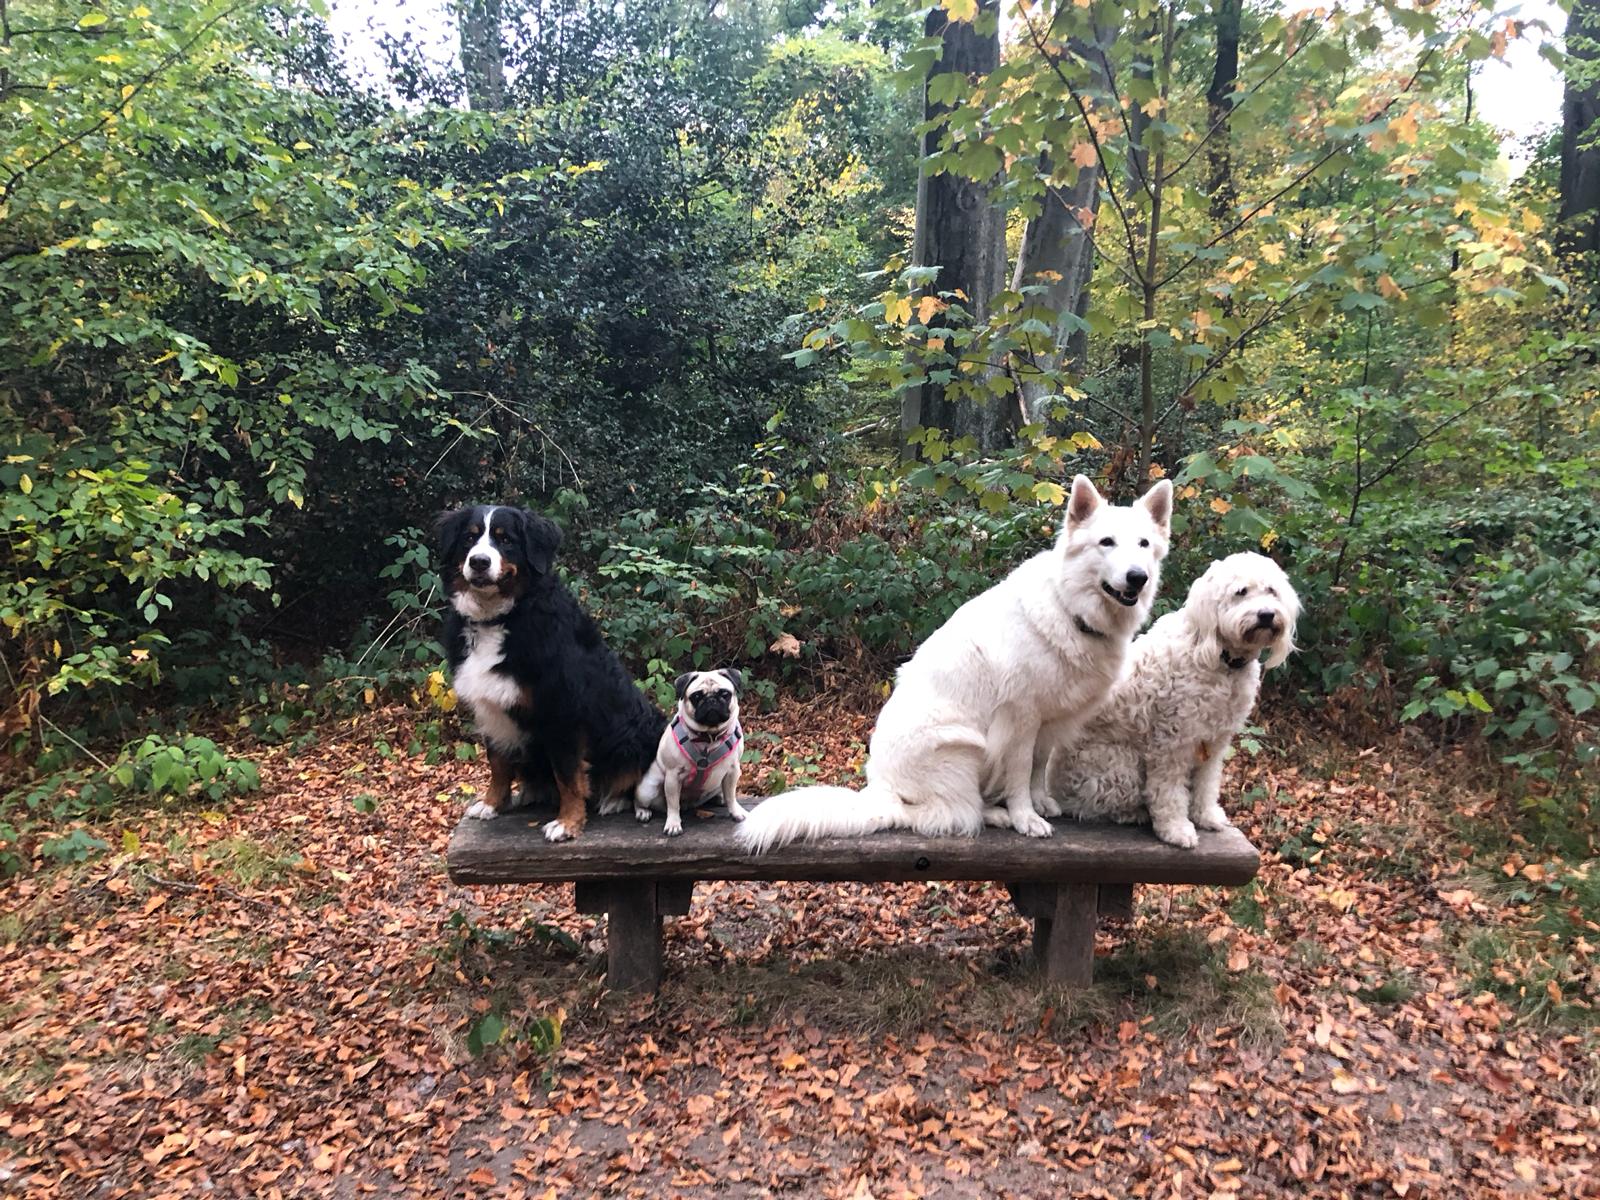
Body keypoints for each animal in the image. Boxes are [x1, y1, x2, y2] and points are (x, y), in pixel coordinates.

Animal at [435, 502, 665, 838]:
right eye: (469, 537)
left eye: (506, 539)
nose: (478, 562)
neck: (500, 619)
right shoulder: (490, 708)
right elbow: (498, 763)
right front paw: (492, 804)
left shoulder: (562, 713)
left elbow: (568, 776)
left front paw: (568, 823)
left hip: (641, 730)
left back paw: (614, 800)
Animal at [736, 473, 1177, 857]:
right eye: (1106, 543)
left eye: (1143, 544)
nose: (1137, 578)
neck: (1071, 609)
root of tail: (882, 795)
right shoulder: (1020, 720)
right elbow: (1020, 772)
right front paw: (1025, 817)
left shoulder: (1049, 722)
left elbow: (1037, 767)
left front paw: (1040, 802)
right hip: (963, 750)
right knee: (947, 813)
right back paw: (997, 815)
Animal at [1049, 556, 1299, 857]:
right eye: (1241, 592)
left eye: (1271, 591)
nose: (1266, 615)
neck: (1221, 659)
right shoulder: (1172, 743)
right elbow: (1168, 791)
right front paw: (1176, 829)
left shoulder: (1215, 742)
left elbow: (1206, 784)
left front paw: (1206, 815)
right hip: (1119, 763)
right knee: (1092, 807)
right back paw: (1132, 813)